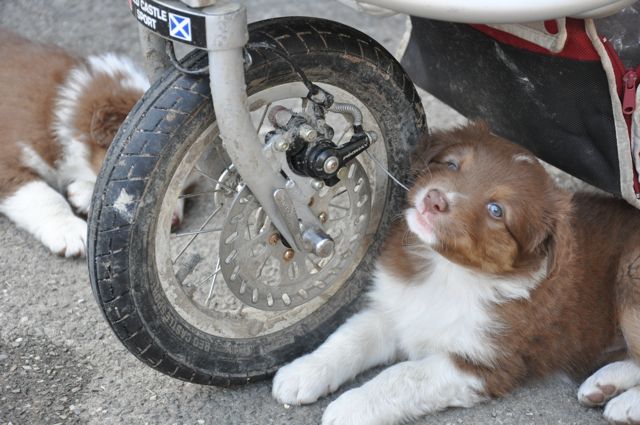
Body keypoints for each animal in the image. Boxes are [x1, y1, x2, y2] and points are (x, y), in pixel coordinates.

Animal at [272, 121, 640, 424]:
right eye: (451, 165)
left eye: (496, 210)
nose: (435, 199)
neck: (447, 273)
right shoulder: (394, 311)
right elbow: (348, 338)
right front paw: (302, 372)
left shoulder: (483, 364)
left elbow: (404, 375)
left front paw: (352, 407)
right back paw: (603, 384)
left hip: (629, 277)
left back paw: (624, 404)